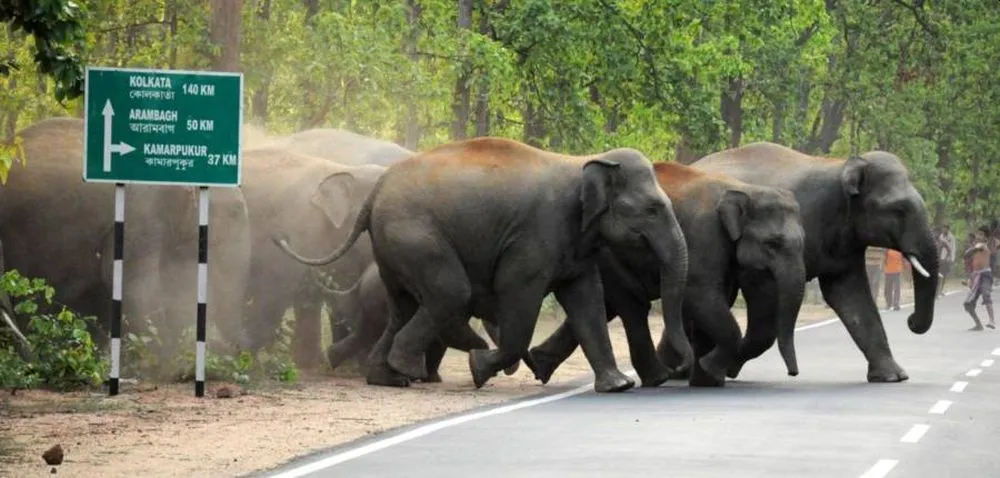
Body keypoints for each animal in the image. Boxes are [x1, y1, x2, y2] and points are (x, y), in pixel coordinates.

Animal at [274, 137, 696, 392]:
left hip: (391, 249)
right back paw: (418, 366)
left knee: (403, 306)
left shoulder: (577, 246)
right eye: (653, 209)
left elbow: (587, 300)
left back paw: (387, 377)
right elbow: (520, 299)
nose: (683, 367)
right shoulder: (533, 238)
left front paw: (617, 386)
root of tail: (374, 195)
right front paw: (480, 368)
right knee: (450, 293)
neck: (585, 163)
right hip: (415, 235)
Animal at [528, 161, 808, 388]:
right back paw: (658, 378)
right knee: (632, 306)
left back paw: (538, 364)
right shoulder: (705, 236)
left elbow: (718, 300)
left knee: (607, 306)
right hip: (610, 253)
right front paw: (708, 371)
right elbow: (702, 297)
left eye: (802, 242)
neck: (745, 189)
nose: (793, 374)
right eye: (773, 243)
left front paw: (706, 379)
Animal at [688, 140, 936, 382]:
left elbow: (850, 295)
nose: (910, 322)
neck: (841, 167)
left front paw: (893, 376)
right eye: (899, 209)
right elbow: (764, 291)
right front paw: (728, 368)